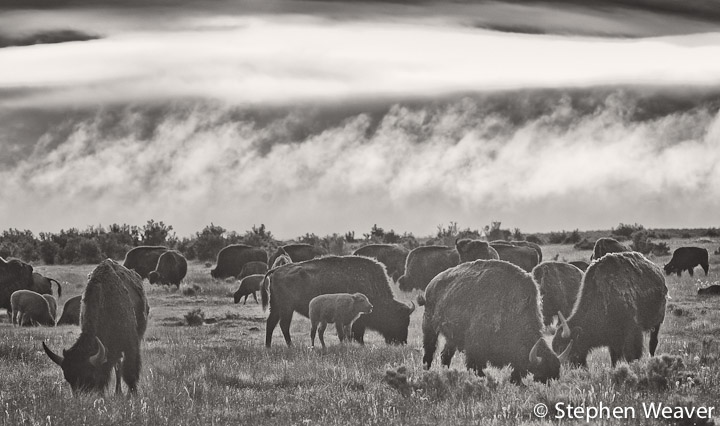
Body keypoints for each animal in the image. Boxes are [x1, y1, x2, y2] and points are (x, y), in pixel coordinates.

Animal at [43, 258, 150, 394]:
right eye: (68, 378)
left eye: (91, 376)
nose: (82, 396)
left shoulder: (130, 344)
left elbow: (129, 372)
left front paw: (133, 394)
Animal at [262, 256, 414, 346]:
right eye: (399, 319)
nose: (402, 342)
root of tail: (275, 270)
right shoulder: (357, 320)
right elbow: (357, 334)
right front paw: (360, 345)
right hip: (286, 308)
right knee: (283, 325)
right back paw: (290, 345)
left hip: (276, 307)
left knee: (271, 323)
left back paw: (268, 346)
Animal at [422, 258, 568, 384]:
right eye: (542, 373)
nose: (548, 384)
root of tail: (431, 284)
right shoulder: (475, 348)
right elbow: (476, 367)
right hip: (429, 326)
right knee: (429, 349)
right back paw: (426, 370)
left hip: (452, 337)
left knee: (445, 354)